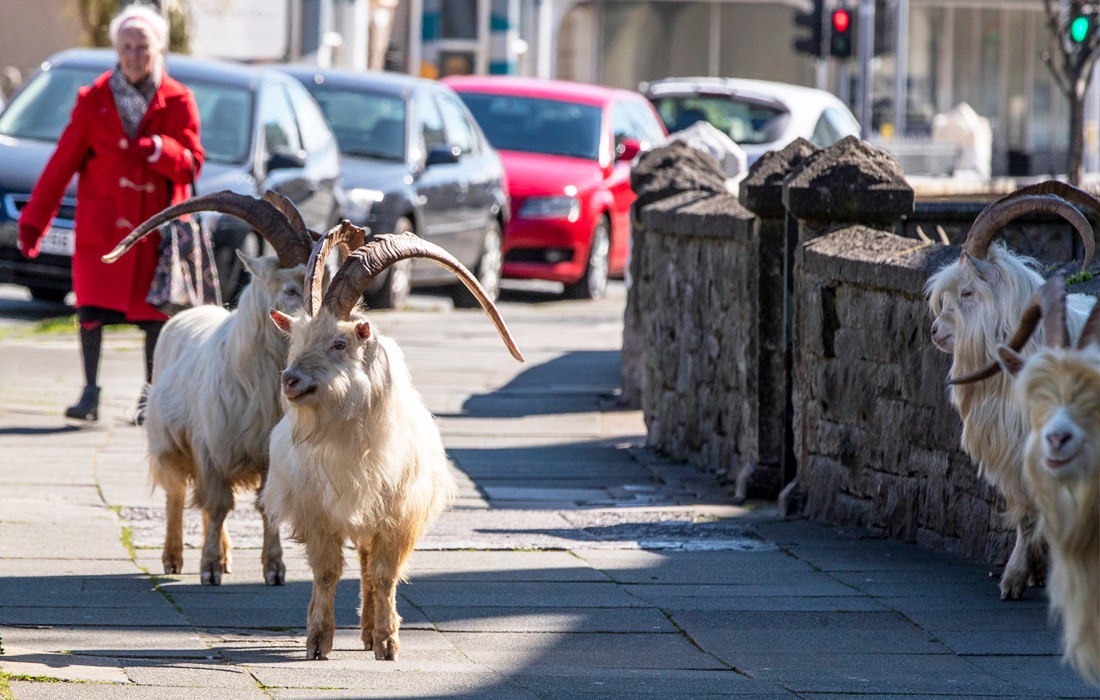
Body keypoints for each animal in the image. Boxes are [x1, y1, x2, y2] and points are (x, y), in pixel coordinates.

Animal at [102, 192, 315, 585]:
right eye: (291, 289)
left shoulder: (266, 454)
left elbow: (264, 507)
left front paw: (274, 569)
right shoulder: (211, 446)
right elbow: (216, 505)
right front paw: (209, 568)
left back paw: (227, 556)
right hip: (168, 442)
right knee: (177, 494)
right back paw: (173, 558)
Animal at [262, 222, 524, 660]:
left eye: (340, 343)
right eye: (295, 340)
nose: (290, 380)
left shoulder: (399, 512)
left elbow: (384, 575)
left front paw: (387, 642)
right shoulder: (317, 512)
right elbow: (327, 573)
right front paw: (318, 641)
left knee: (370, 565)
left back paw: (369, 632)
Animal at [926, 181, 1098, 600]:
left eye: (967, 293)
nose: (935, 331)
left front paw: (1016, 576)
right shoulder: (1012, 451)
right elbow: (1026, 513)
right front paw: (1026, 573)